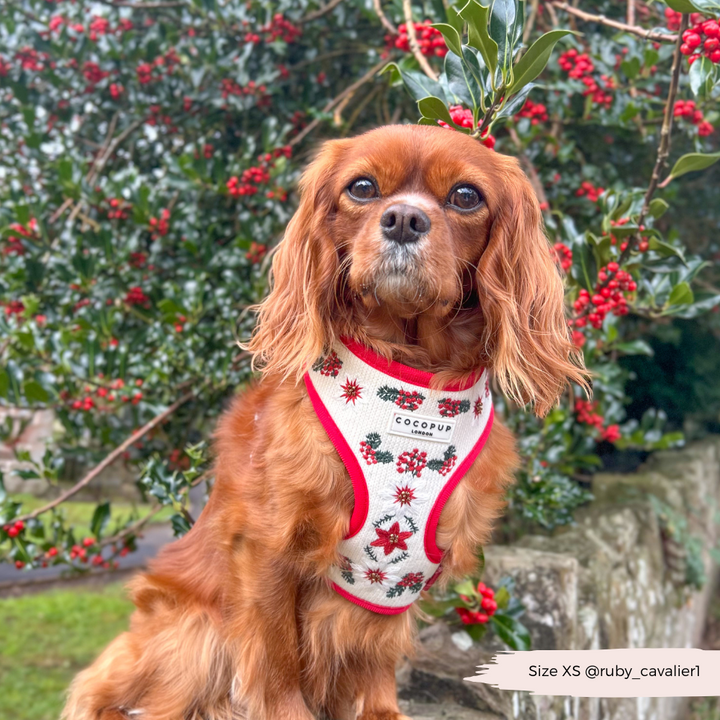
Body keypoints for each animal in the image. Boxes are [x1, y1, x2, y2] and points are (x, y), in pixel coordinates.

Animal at [64, 125, 588, 720]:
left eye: (465, 196)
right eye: (362, 187)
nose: (403, 219)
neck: (410, 384)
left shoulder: (400, 571)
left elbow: (377, 655)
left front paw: (380, 709)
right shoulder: (266, 548)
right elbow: (275, 658)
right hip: (192, 629)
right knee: (113, 694)